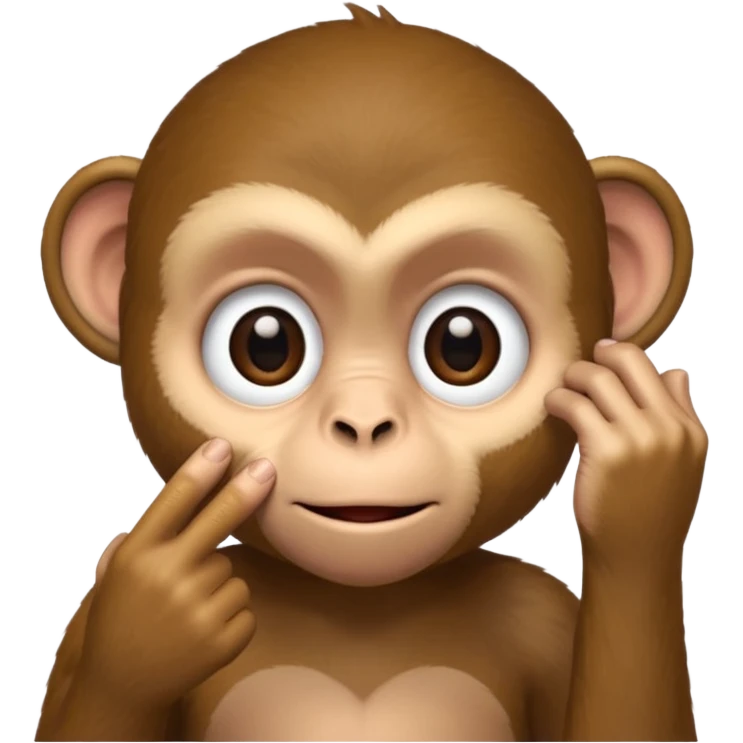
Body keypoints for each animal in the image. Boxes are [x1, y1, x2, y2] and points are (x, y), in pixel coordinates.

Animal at [34, 4, 706, 742]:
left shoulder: (544, 619)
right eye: (266, 343)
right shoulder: (85, 618)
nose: (362, 424)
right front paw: (154, 613)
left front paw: (636, 478)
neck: (362, 613)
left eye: (462, 344)